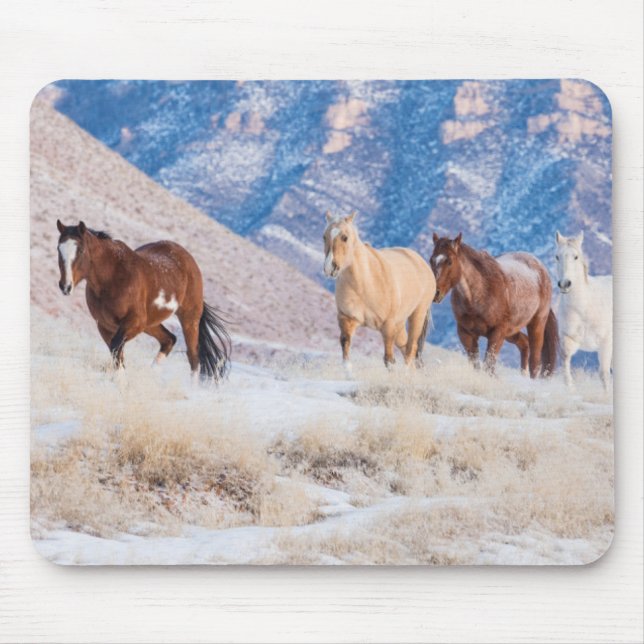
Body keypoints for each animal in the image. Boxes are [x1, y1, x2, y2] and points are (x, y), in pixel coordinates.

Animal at [56, 220, 230, 382]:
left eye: (80, 250)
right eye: (59, 249)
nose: (65, 286)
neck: (112, 277)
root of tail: (188, 258)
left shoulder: (134, 322)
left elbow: (116, 347)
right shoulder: (104, 325)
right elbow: (117, 354)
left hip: (188, 318)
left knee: (193, 357)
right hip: (151, 323)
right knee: (169, 340)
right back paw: (152, 372)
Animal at [323, 211, 436, 369]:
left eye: (345, 237)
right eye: (324, 236)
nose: (329, 268)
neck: (365, 284)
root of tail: (421, 262)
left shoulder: (388, 326)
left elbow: (389, 360)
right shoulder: (347, 320)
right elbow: (346, 355)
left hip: (417, 315)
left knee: (410, 350)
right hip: (399, 324)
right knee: (407, 348)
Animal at [429, 232, 558, 377]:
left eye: (450, 261)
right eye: (431, 260)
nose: (435, 292)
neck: (480, 295)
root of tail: (541, 269)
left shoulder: (497, 333)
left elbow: (489, 366)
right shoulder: (465, 334)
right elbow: (476, 365)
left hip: (536, 324)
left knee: (535, 361)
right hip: (511, 331)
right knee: (524, 343)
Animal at [555, 231, 612, 390]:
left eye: (576, 256)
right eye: (557, 256)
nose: (564, 284)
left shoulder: (606, 343)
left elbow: (604, 376)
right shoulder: (568, 339)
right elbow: (566, 364)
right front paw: (570, 387)